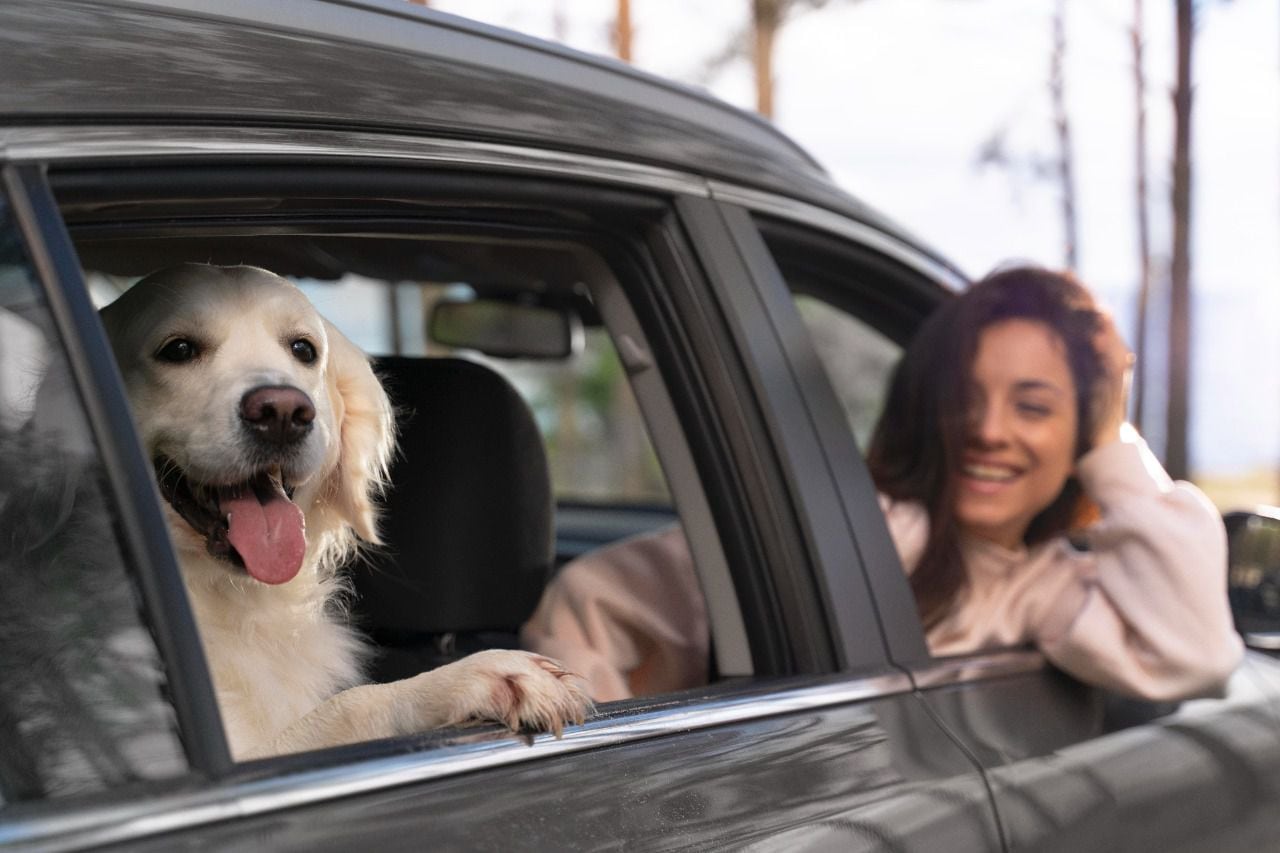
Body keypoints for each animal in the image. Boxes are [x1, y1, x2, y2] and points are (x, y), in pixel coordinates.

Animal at [99, 262, 588, 753]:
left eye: (303, 349)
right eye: (178, 349)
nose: (283, 412)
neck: (235, 600)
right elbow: (350, 704)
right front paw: (472, 676)